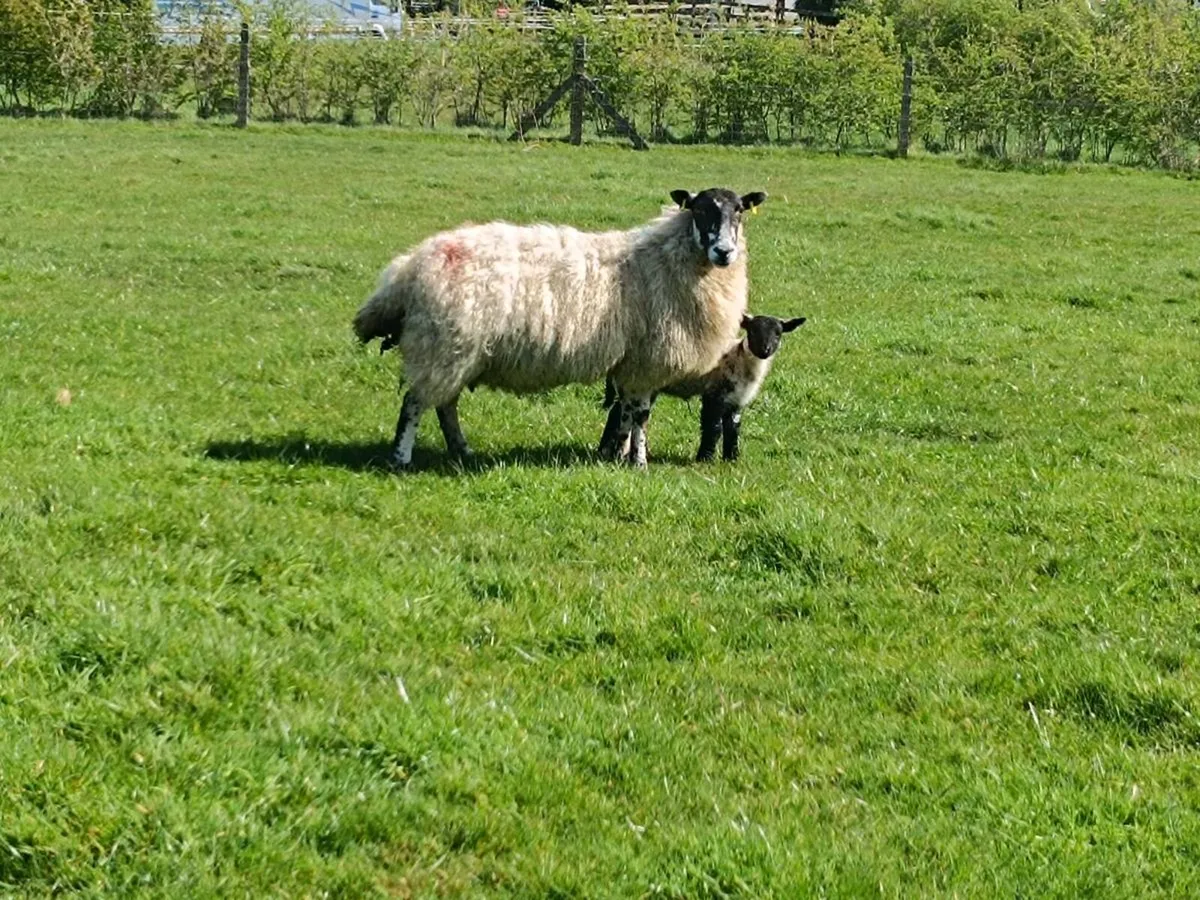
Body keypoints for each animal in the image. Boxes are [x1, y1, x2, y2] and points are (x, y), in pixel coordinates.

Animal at [353, 187, 767, 469]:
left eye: (739, 213)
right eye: (700, 210)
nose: (724, 252)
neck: (668, 261)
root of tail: (410, 267)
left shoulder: (632, 363)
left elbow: (626, 415)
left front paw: (616, 455)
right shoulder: (647, 360)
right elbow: (641, 415)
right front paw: (638, 462)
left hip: (456, 349)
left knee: (444, 404)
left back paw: (461, 449)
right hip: (441, 343)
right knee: (415, 402)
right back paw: (401, 458)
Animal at [599, 313, 807, 463]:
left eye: (778, 333)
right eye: (753, 331)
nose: (765, 350)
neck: (740, 361)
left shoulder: (736, 401)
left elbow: (733, 429)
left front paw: (732, 458)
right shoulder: (713, 395)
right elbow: (714, 427)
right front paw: (705, 458)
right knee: (618, 413)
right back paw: (608, 451)